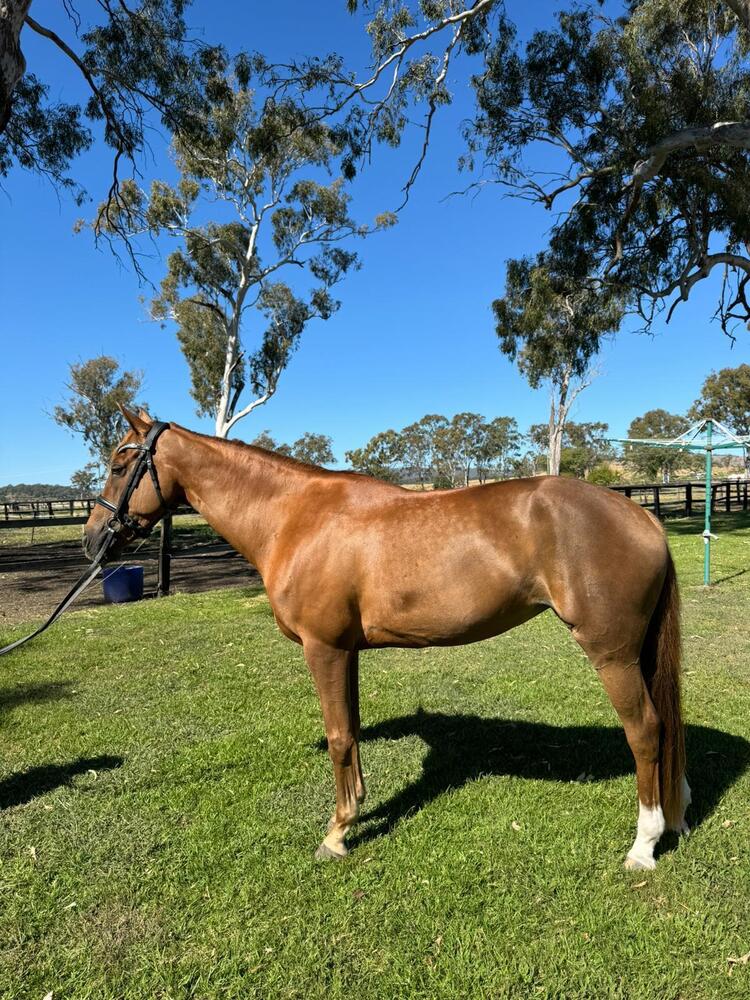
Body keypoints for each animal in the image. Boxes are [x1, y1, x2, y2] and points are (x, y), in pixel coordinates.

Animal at [84, 407, 689, 869]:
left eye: (118, 461)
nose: (93, 538)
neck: (294, 518)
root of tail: (642, 517)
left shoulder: (323, 649)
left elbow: (336, 737)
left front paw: (336, 834)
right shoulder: (346, 652)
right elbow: (350, 731)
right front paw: (352, 814)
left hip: (611, 655)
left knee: (645, 730)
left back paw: (643, 845)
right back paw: (678, 813)